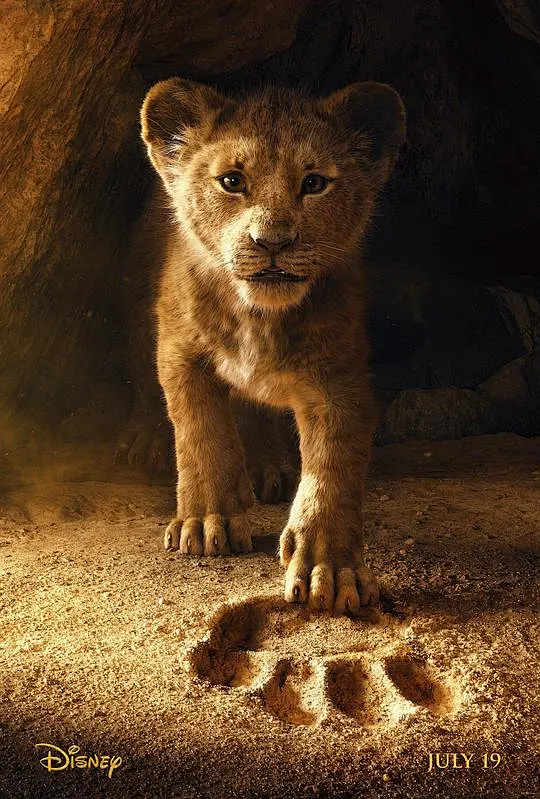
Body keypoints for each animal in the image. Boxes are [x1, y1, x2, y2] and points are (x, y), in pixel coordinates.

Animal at [138, 77, 406, 613]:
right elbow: (202, 434)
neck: (258, 316)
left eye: (315, 183)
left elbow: (333, 469)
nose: (273, 242)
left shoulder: (338, 379)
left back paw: (267, 469)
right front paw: (207, 522)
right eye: (231, 181)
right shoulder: (180, 353)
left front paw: (331, 568)